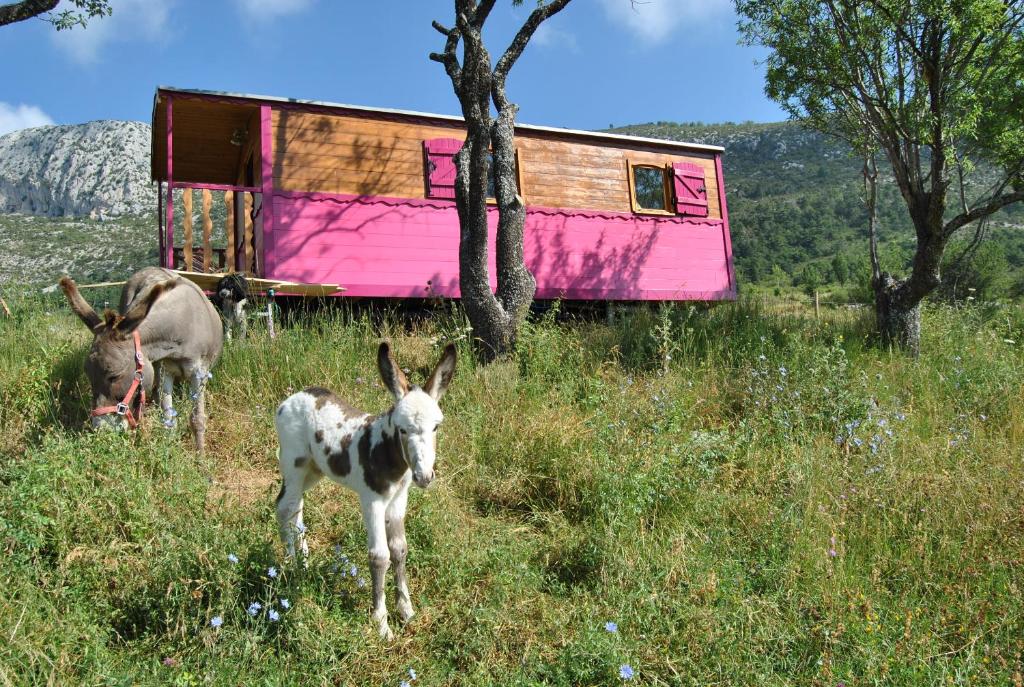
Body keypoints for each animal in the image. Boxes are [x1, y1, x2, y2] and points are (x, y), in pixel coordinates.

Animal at [276, 341, 460, 638]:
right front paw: (381, 624)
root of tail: (294, 397)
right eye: (402, 429)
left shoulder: (398, 499)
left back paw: (303, 561)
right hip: (294, 464)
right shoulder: (372, 500)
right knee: (286, 507)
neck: (388, 452)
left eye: (436, 427)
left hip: (315, 470)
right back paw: (291, 565)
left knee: (294, 509)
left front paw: (406, 611)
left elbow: (399, 549)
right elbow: (379, 556)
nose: (424, 477)